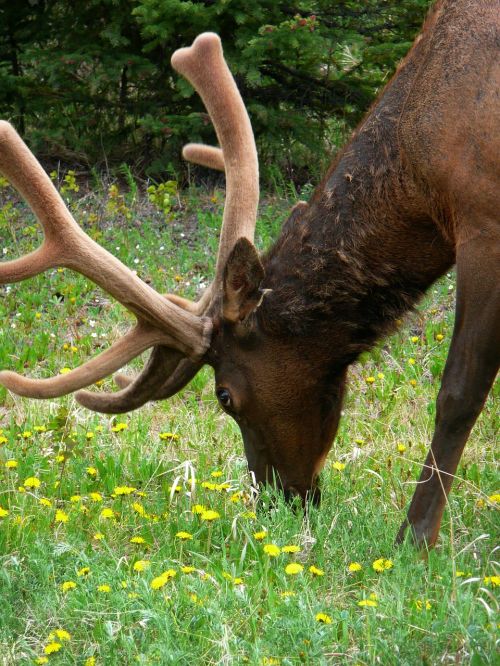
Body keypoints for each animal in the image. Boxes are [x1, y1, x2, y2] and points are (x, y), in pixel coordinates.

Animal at [0, 0, 498, 548]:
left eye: (224, 396)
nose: (278, 501)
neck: (421, 166)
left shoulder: (484, 220)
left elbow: (458, 394)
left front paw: (415, 538)